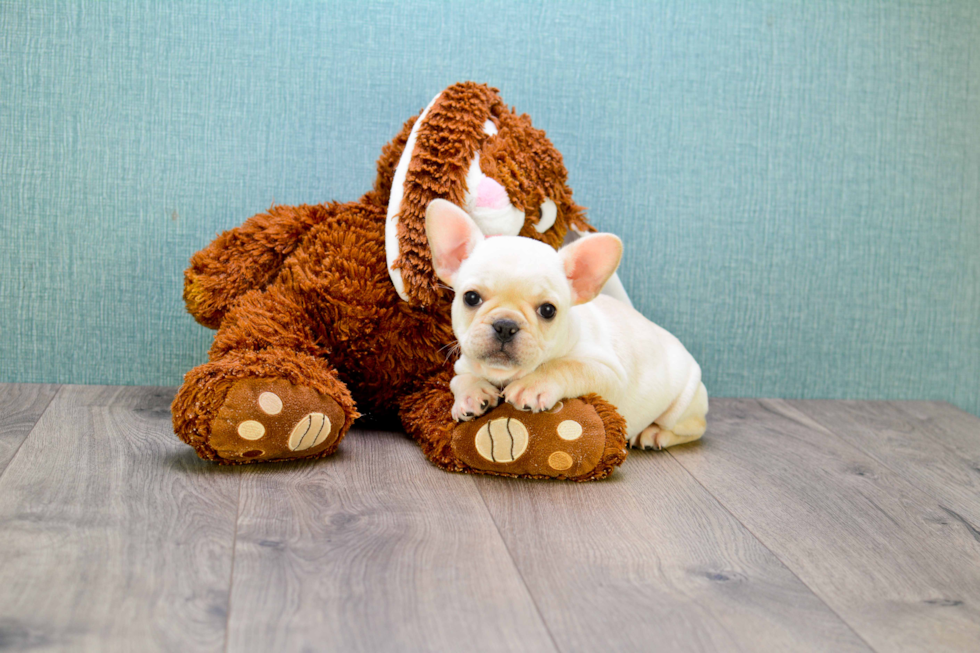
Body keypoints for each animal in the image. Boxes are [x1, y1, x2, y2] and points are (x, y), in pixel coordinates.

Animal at [424, 199, 708, 450]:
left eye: (548, 310)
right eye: (471, 298)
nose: (505, 325)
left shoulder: (609, 375)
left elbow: (567, 365)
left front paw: (533, 384)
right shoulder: (464, 363)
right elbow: (458, 380)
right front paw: (471, 395)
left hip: (683, 405)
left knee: (694, 428)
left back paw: (654, 434)